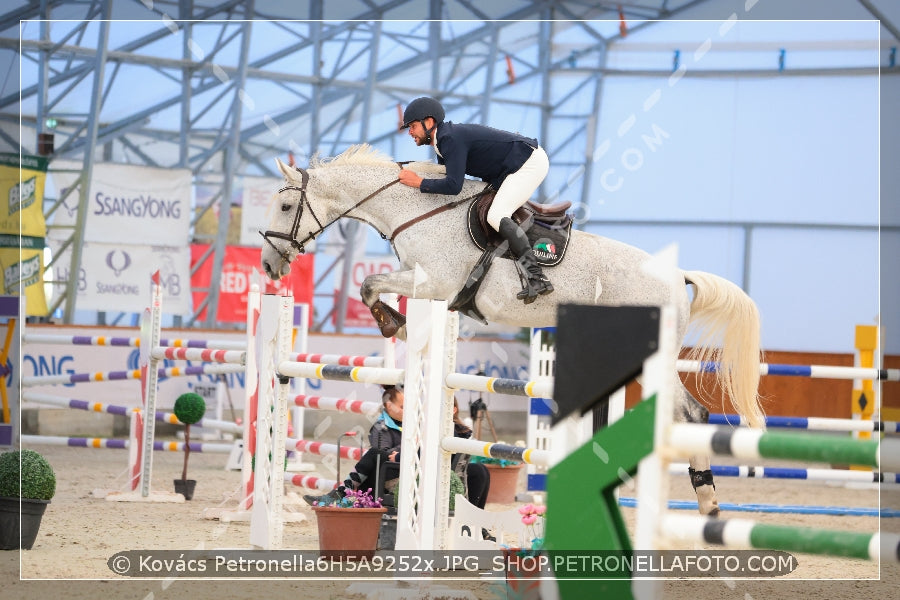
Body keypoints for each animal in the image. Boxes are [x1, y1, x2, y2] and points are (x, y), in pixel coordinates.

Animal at [262, 145, 768, 516]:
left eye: (286, 204)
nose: (268, 266)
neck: (417, 210)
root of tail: (679, 276)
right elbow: (373, 286)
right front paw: (397, 323)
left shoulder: (433, 282)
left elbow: (369, 285)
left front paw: (395, 324)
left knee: (693, 414)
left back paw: (707, 502)